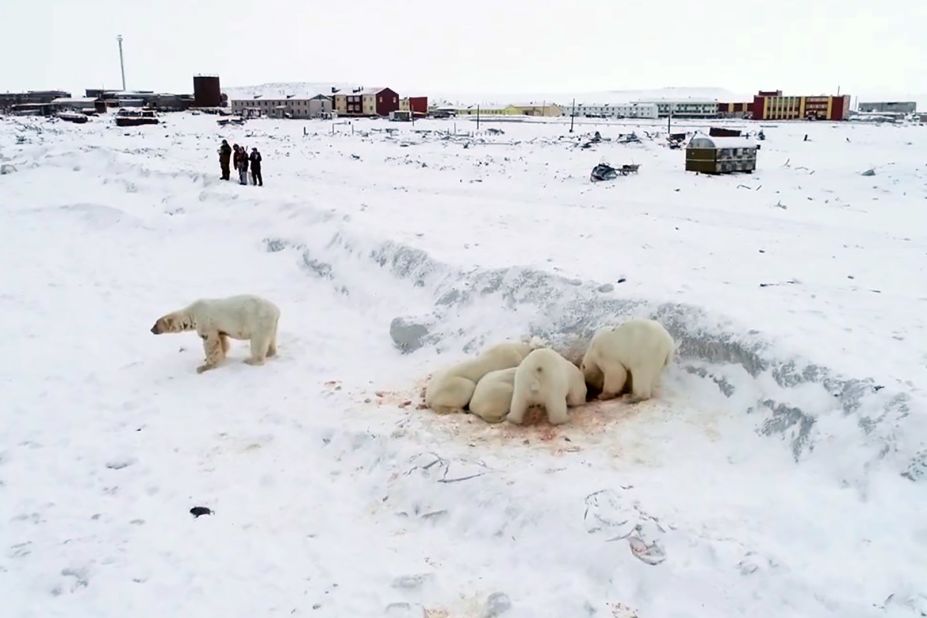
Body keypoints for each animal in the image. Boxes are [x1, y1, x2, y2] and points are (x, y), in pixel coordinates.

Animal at [147, 294, 280, 376]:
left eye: (156, 324)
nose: (151, 330)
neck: (193, 313)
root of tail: (277, 310)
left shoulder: (206, 323)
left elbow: (211, 343)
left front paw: (203, 367)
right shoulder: (218, 328)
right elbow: (222, 340)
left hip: (259, 321)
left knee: (258, 342)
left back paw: (250, 360)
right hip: (271, 324)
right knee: (271, 339)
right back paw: (270, 353)